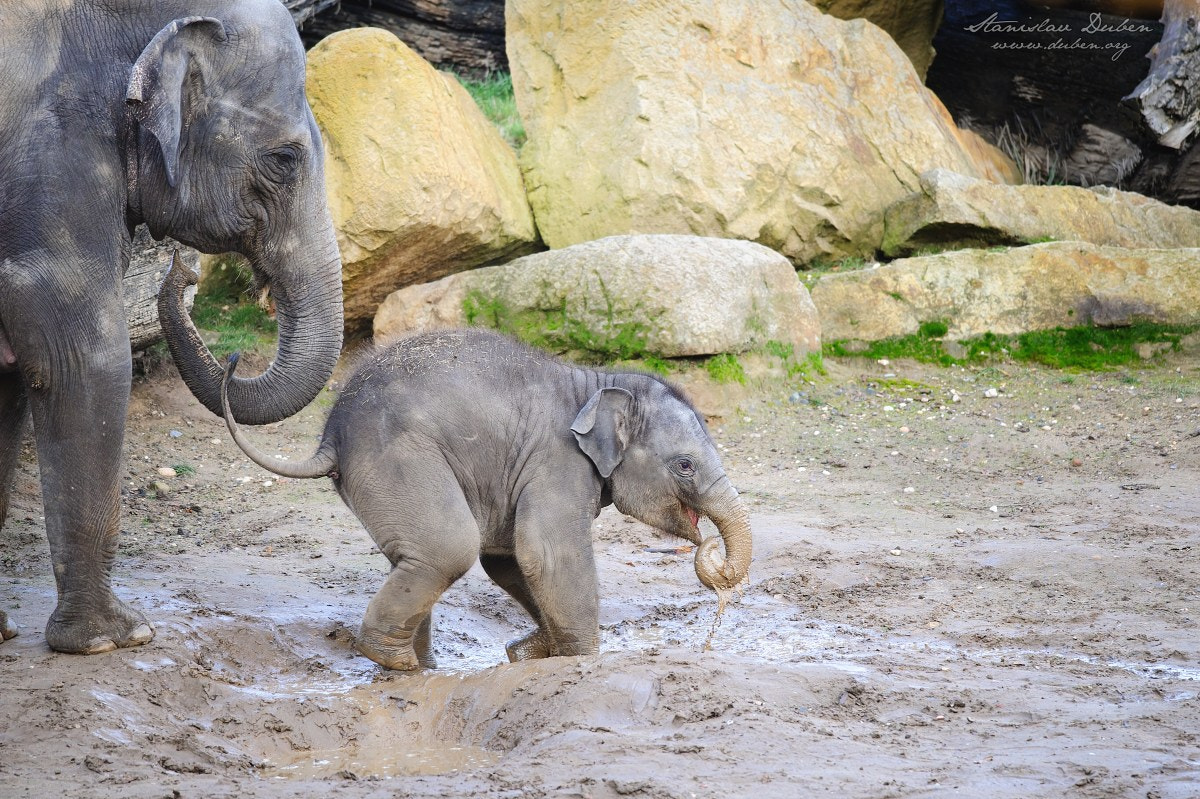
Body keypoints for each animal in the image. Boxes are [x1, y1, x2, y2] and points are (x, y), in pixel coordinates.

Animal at [223, 326, 748, 667]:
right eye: (685, 466)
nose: (710, 552)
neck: (596, 382)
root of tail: (330, 436)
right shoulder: (557, 463)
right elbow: (546, 555)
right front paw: (580, 663)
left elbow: (508, 559)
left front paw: (528, 651)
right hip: (401, 458)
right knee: (448, 547)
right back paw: (395, 661)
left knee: (416, 557)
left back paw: (419, 667)